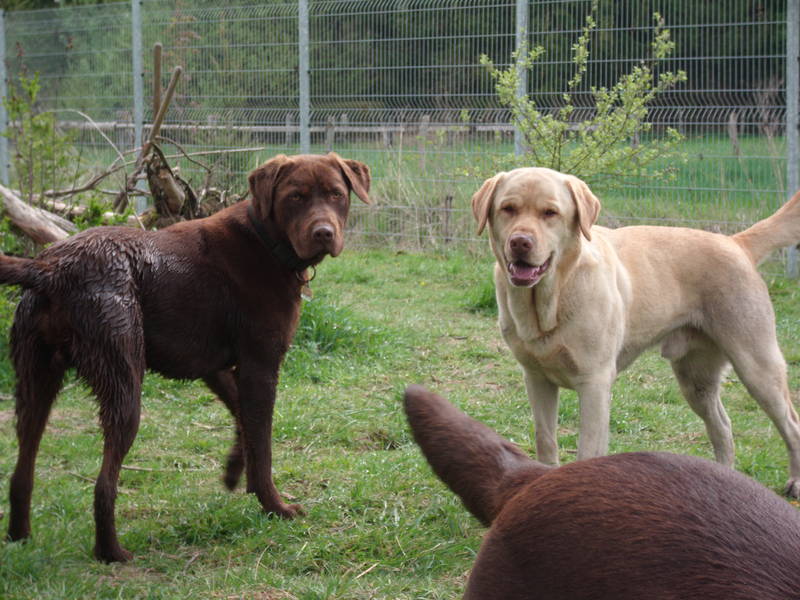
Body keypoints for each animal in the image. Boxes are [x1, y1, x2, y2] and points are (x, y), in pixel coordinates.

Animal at [3, 152, 370, 562]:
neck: (265, 240)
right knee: (103, 484)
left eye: (336, 194)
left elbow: (242, 421)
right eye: (295, 197)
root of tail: (50, 269)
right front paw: (274, 506)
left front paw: (234, 472)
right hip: (123, 382)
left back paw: (20, 536)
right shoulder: (260, 366)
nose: (323, 232)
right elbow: (263, 444)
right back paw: (111, 552)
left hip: (35, 383)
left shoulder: (215, 367)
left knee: (21, 472)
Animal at [471, 167, 800, 497]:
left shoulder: (594, 382)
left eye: (550, 213)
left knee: (791, 424)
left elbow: (587, 451)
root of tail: (735, 242)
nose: (520, 242)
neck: (552, 298)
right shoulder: (536, 378)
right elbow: (545, 440)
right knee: (722, 426)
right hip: (696, 381)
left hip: (757, 366)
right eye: (508, 208)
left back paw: (794, 482)